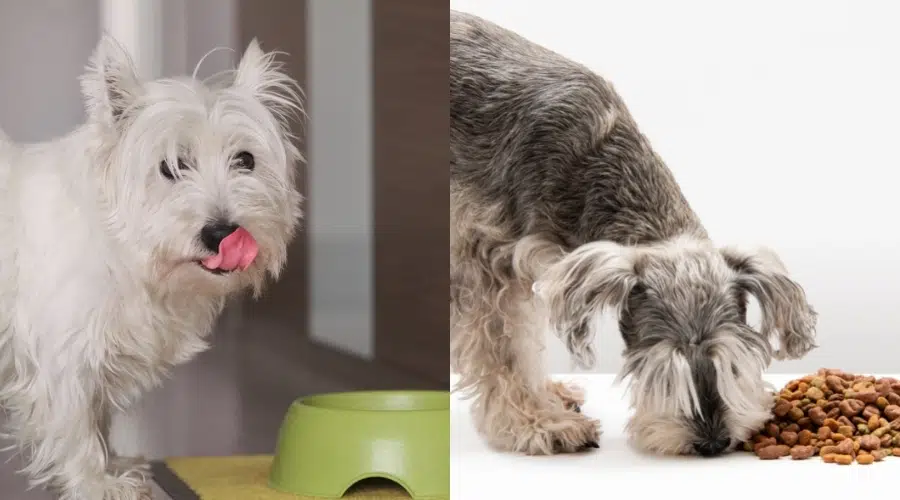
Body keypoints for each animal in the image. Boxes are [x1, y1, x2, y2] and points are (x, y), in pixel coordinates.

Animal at [0, 36, 304, 500]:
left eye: (246, 160)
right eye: (170, 167)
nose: (221, 232)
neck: (122, 248)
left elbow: (98, 418)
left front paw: (114, 465)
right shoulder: (64, 353)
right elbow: (77, 423)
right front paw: (96, 482)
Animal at [446, 10, 820, 458]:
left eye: (733, 366)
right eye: (663, 374)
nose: (712, 442)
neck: (588, 157)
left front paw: (549, 400)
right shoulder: (487, 263)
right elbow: (507, 352)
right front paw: (540, 422)